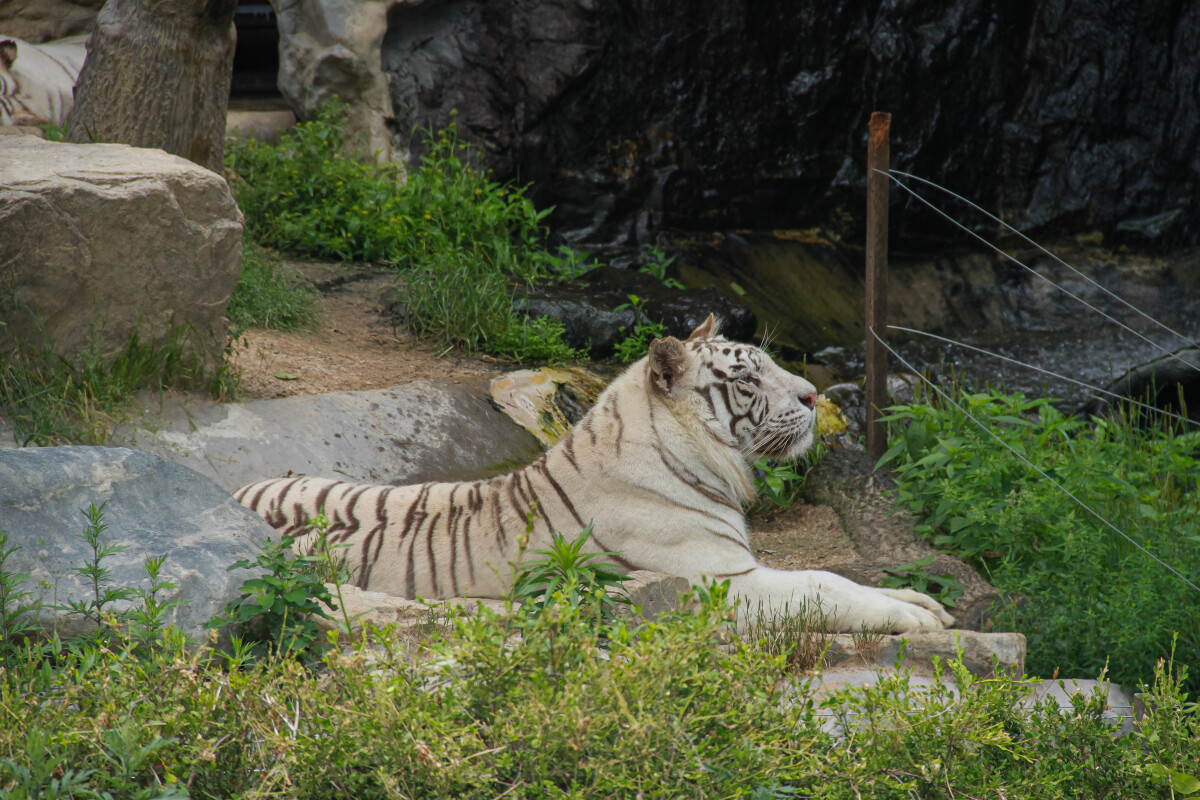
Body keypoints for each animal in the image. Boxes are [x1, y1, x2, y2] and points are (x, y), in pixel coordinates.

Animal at [238, 311, 955, 633]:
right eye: (748, 377)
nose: (812, 397)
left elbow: (831, 575)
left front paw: (921, 602)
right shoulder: (721, 580)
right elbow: (822, 588)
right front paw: (917, 618)